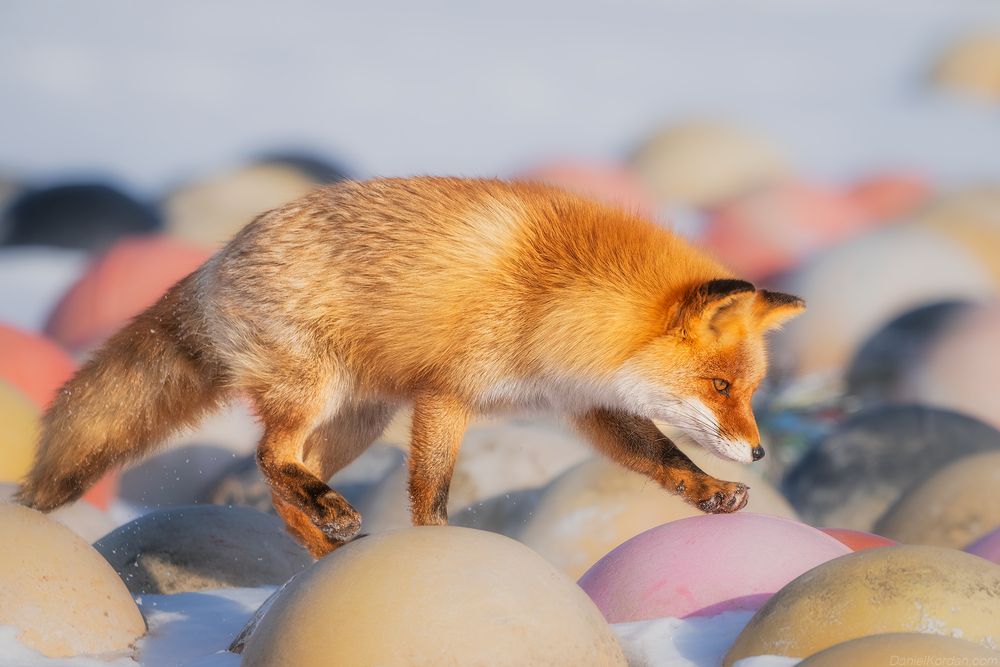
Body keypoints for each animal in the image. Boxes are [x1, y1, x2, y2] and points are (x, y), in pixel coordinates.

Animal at [17, 177, 804, 557]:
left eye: (750, 390)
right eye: (719, 386)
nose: (761, 451)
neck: (555, 295)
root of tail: (218, 257)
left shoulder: (585, 403)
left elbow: (661, 456)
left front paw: (711, 491)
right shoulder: (446, 395)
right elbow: (432, 493)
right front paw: (438, 547)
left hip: (357, 420)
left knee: (278, 476)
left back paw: (322, 539)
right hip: (315, 391)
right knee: (272, 457)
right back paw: (329, 517)